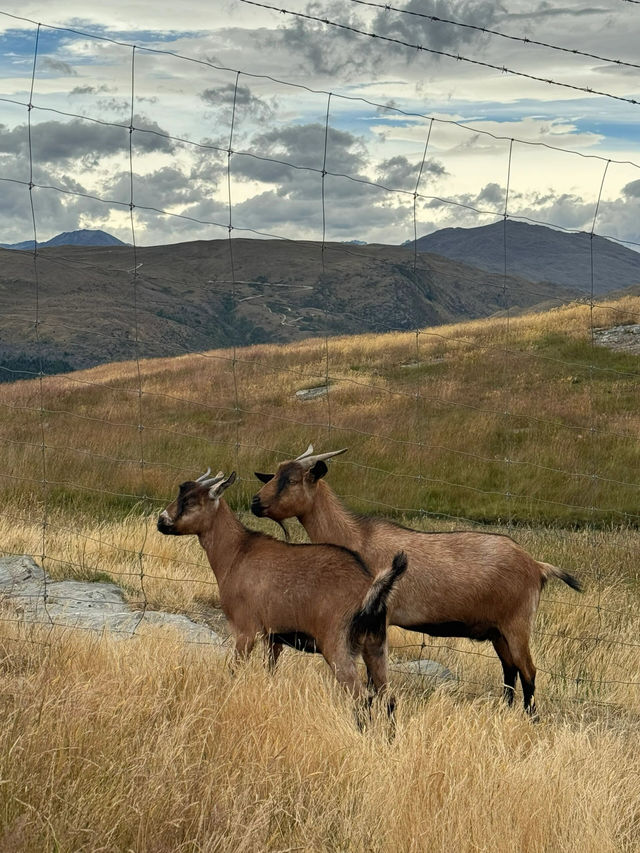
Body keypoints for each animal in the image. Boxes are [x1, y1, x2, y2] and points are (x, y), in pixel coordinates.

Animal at [158, 470, 408, 716]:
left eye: (190, 501)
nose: (161, 521)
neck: (236, 553)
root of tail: (372, 588)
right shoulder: (273, 636)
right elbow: (270, 672)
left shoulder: (246, 628)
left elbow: (234, 670)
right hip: (376, 645)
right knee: (389, 699)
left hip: (338, 644)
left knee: (361, 699)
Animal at [252, 442, 584, 716]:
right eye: (273, 475)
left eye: (291, 480)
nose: (255, 502)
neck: (356, 538)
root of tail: (537, 566)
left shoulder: (378, 619)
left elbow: (374, 679)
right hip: (498, 630)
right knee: (510, 670)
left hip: (517, 624)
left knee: (528, 672)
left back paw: (531, 720)